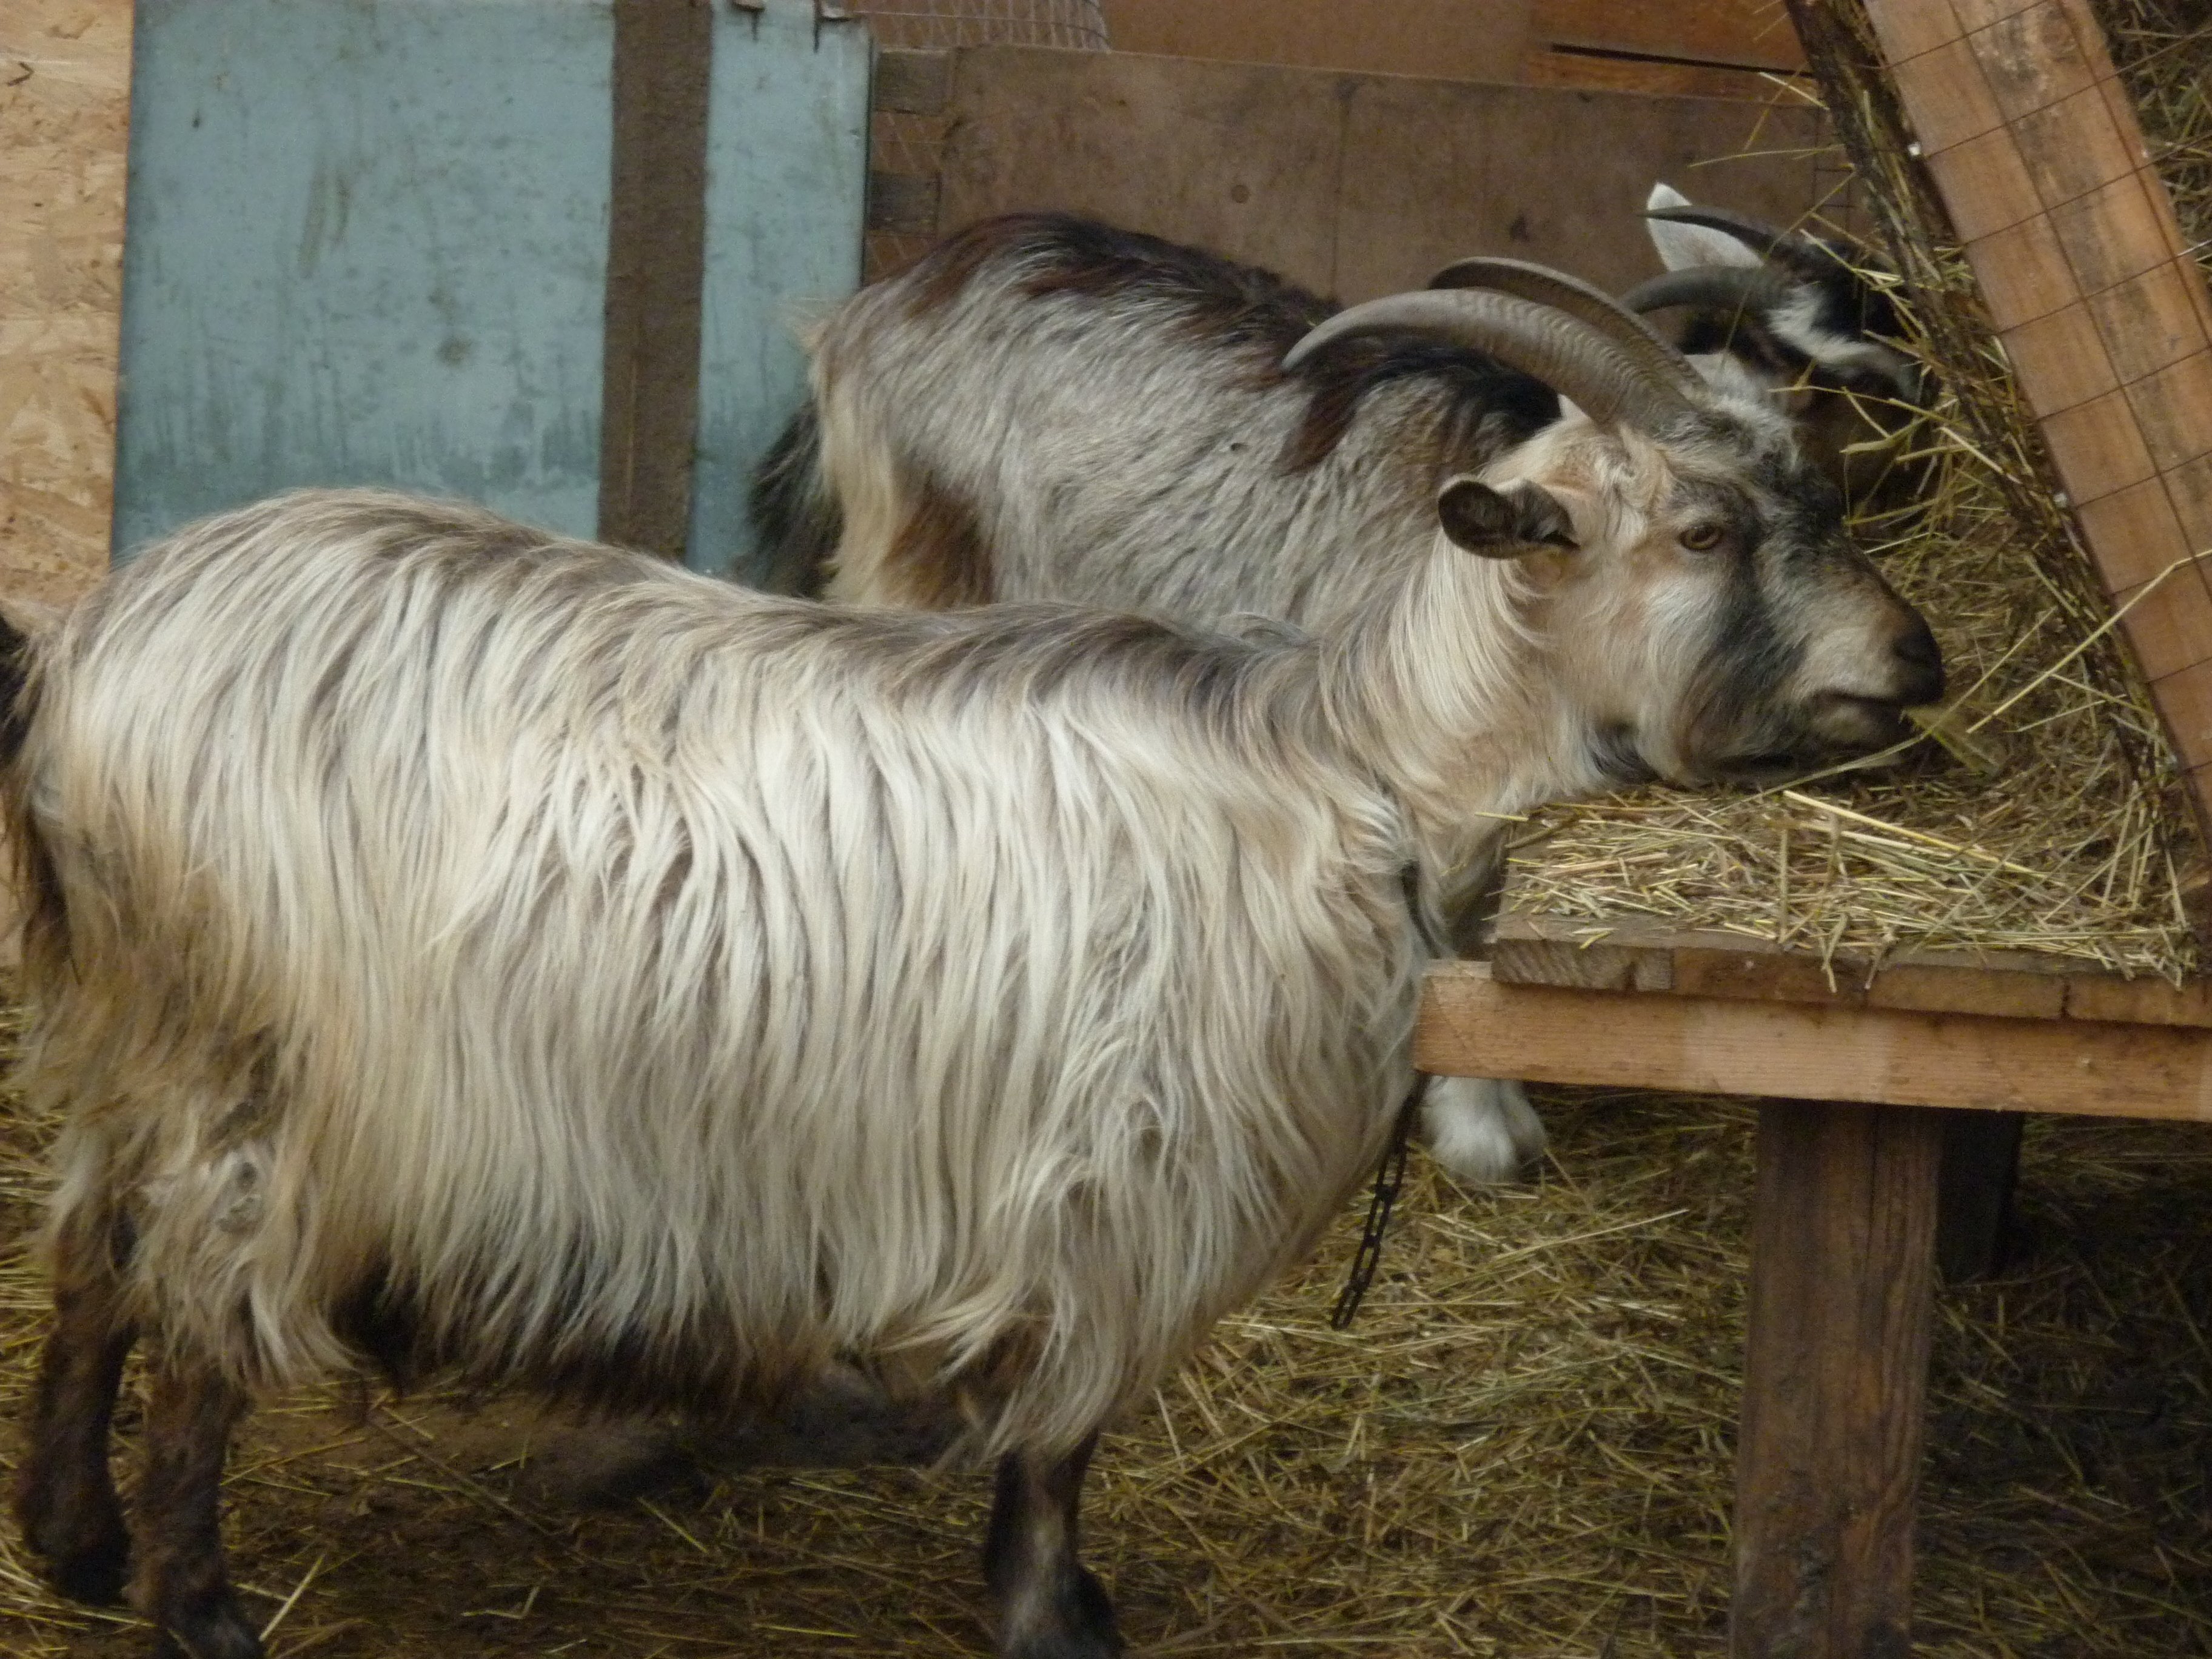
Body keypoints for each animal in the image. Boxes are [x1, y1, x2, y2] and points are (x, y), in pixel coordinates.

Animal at [8, 270, 1929, 1654]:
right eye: (1702, 530)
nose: (1911, 660)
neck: (1355, 769)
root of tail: (95, 654)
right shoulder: (1123, 1180)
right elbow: (1062, 1435)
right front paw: (1053, 1616)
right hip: (268, 1068)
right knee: (197, 1308)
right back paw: (197, 1603)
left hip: (143, 1032)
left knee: (91, 1256)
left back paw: (73, 1541)